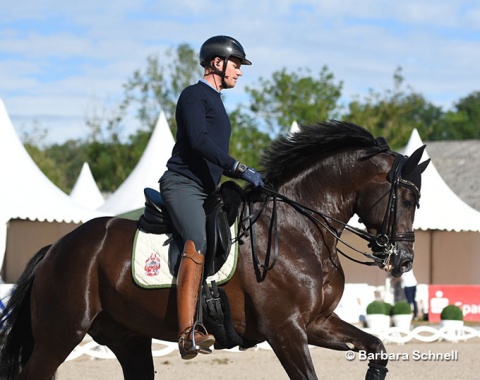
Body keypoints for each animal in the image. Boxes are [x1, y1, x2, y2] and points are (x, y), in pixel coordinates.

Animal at [0, 121, 428, 378]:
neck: (300, 229)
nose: (404, 260)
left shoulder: (316, 322)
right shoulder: (285, 330)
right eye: (408, 199)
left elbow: (376, 346)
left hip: (127, 338)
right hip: (60, 334)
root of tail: (57, 246)